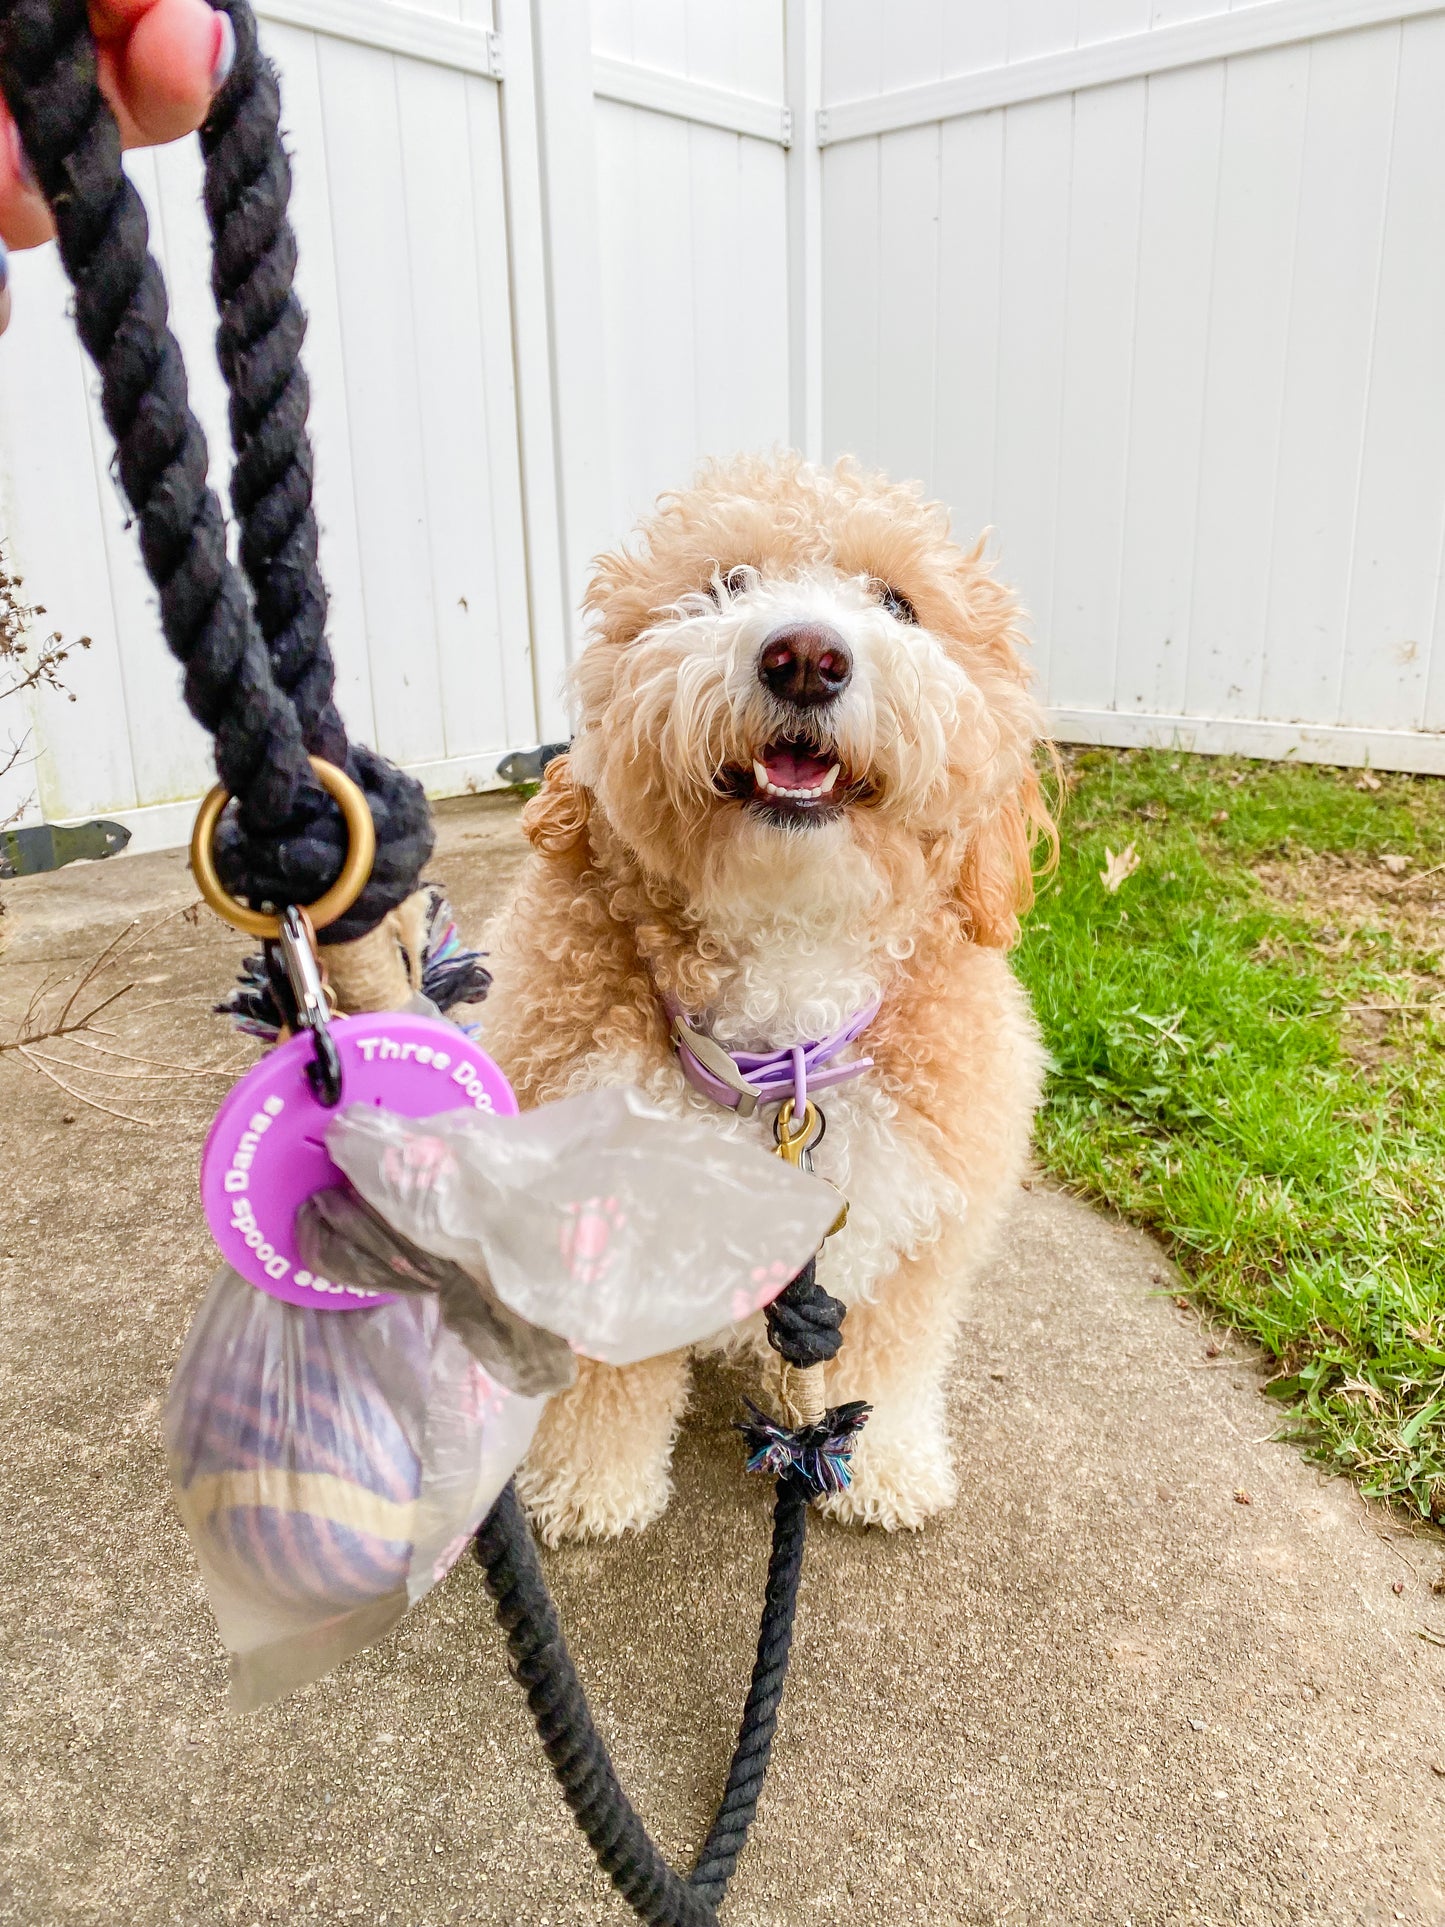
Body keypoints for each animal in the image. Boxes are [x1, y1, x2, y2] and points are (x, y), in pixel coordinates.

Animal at [481, 447, 1055, 1533]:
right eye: (725, 583)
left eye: (898, 602)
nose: (803, 657)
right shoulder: (592, 1220)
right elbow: (604, 1382)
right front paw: (586, 1485)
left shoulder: (913, 1225)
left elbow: (889, 1356)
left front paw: (880, 1467)